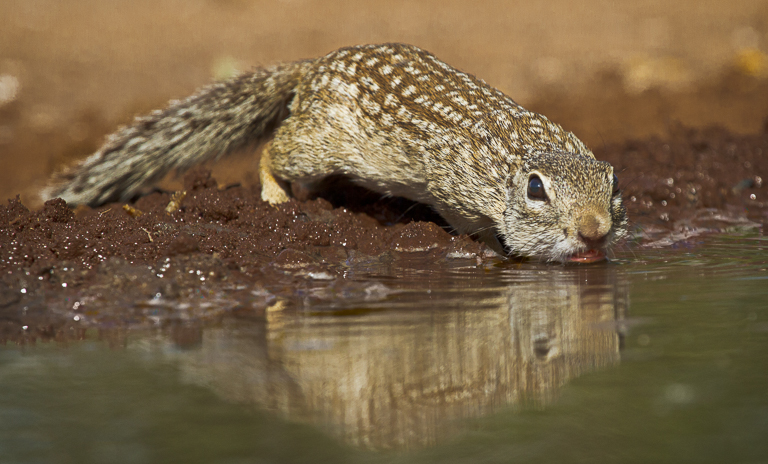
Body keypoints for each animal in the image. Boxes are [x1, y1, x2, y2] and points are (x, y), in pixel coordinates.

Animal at [44, 43, 628, 263]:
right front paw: (493, 247)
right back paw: (275, 195)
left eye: (615, 184)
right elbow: (468, 223)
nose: (594, 230)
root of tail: (310, 68)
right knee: (274, 150)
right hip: (314, 145)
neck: (518, 155)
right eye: (537, 191)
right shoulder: (452, 188)